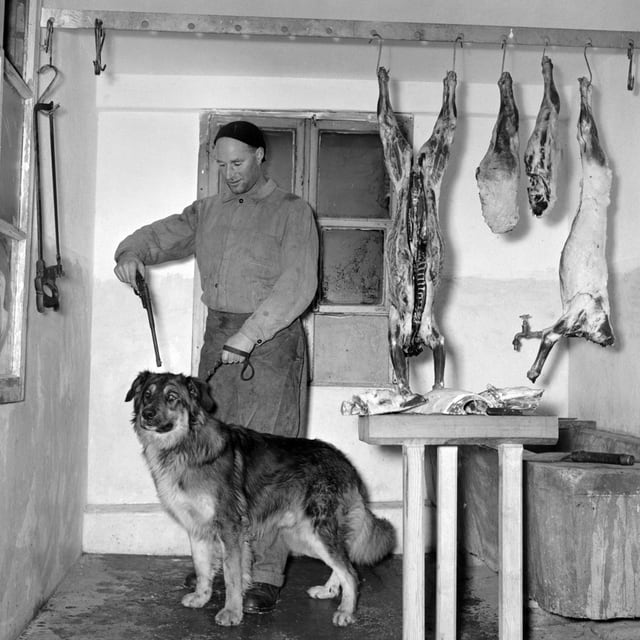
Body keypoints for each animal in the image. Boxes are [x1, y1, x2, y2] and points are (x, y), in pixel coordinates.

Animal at [125, 372, 396, 628]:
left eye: (172, 397)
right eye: (147, 395)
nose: (147, 415)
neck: (185, 445)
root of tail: (344, 462)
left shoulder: (230, 528)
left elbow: (232, 576)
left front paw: (232, 613)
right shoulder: (198, 528)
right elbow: (202, 568)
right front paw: (202, 597)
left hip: (313, 531)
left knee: (351, 572)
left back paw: (346, 612)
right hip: (305, 535)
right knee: (343, 564)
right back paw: (328, 591)